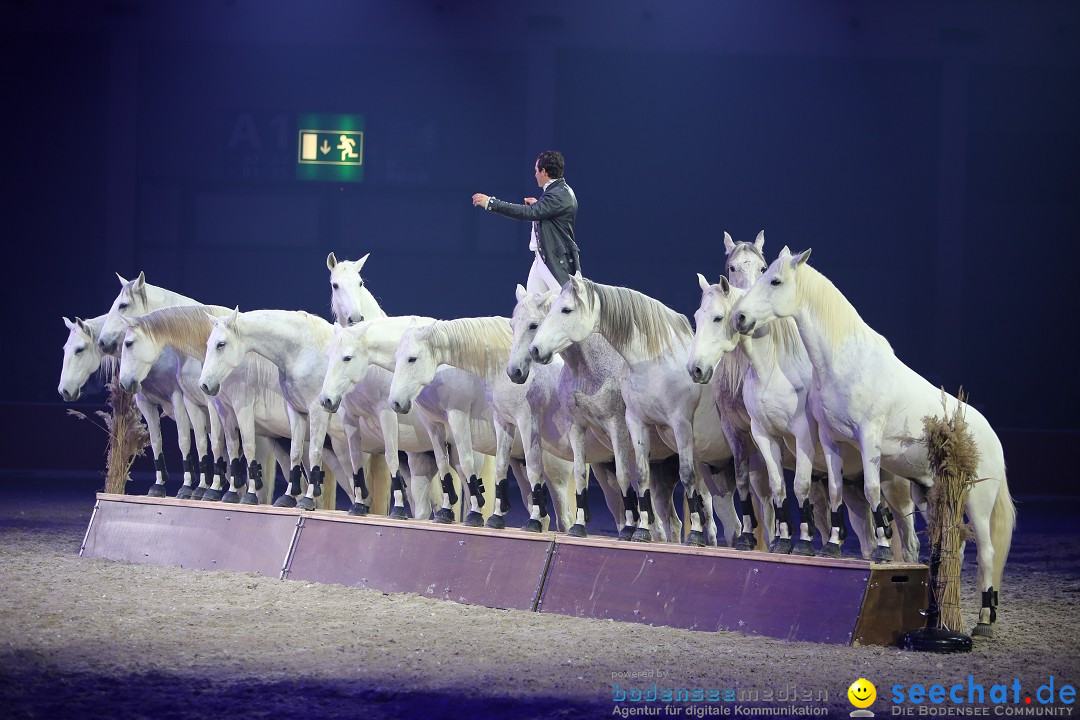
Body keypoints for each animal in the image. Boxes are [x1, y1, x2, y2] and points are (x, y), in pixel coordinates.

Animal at [529, 276, 738, 546]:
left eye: (566, 309)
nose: (535, 350)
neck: (652, 363)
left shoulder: (675, 424)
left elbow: (681, 476)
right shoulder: (631, 424)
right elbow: (634, 475)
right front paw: (637, 531)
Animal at [730, 248, 1015, 634]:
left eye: (773, 280)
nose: (740, 317)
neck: (846, 363)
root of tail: (991, 435)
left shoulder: (868, 441)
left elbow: (871, 491)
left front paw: (880, 549)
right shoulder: (831, 442)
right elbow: (837, 491)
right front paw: (832, 547)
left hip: (977, 501)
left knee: (986, 553)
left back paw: (985, 619)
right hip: (933, 496)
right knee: (953, 545)